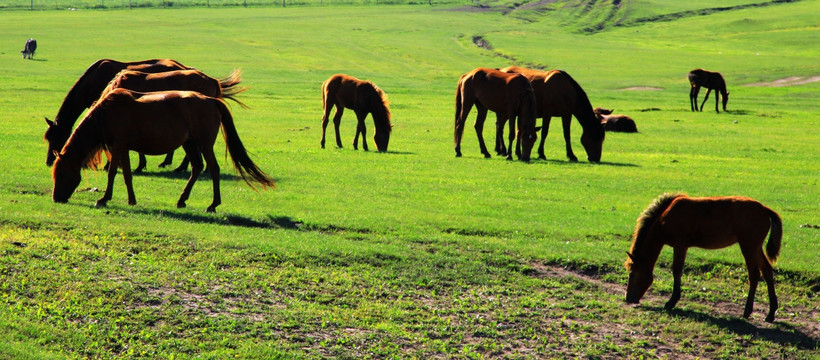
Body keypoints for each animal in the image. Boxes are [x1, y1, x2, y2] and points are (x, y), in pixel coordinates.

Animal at [52, 88, 276, 212]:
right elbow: (127, 174)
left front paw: (104, 199)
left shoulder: (118, 146)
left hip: (204, 144)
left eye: (61, 173)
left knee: (213, 169)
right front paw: (131, 200)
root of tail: (212, 101)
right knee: (196, 167)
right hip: (190, 144)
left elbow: (113, 173)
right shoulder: (123, 149)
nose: (56, 198)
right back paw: (182, 200)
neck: (105, 115)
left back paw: (213, 204)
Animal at [624, 193, 784, 322]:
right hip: (756, 248)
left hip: (748, 247)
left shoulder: (680, 244)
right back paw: (770, 314)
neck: (665, 217)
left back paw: (747, 311)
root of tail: (765, 209)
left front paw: (671, 301)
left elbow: (676, 270)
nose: (628, 299)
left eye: (632, 274)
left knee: (754, 274)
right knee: (767, 271)